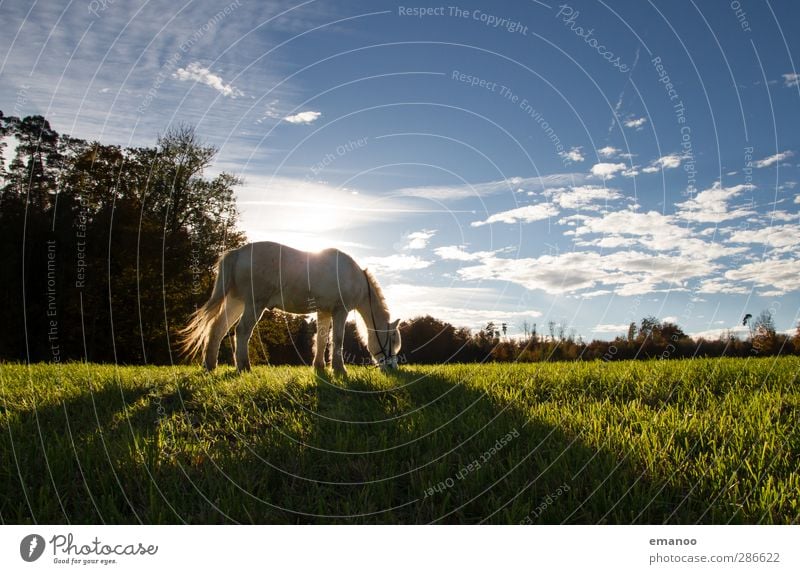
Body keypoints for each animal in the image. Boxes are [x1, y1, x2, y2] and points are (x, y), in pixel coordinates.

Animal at [177, 242, 398, 374]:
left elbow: (321, 339)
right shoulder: (339, 312)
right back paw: (244, 366)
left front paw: (319, 367)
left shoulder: (324, 312)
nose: (393, 368)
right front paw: (339, 370)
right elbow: (337, 339)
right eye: (392, 341)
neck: (354, 277)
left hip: (236, 303)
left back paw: (210, 366)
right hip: (254, 304)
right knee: (242, 331)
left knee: (218, 329)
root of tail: (238, 253)